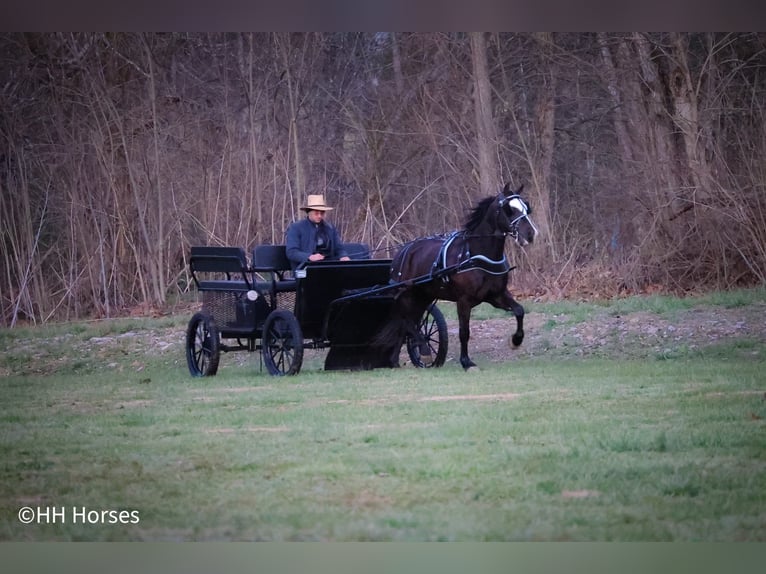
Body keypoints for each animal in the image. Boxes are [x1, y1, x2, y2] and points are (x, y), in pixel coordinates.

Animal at [379, 182, 538, 370]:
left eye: (526, 207)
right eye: (509, 209)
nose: (531, 233)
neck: (475, 255)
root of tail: (402, 252)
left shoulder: (496, 295)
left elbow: (519, 311)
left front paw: (516, 341)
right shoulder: (464, 301)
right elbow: (464, 332)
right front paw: (466, 362)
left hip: (423, 296)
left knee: (409, 322)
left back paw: (396, 361)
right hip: (406, 295)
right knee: (406, 321)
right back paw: (423, 351)